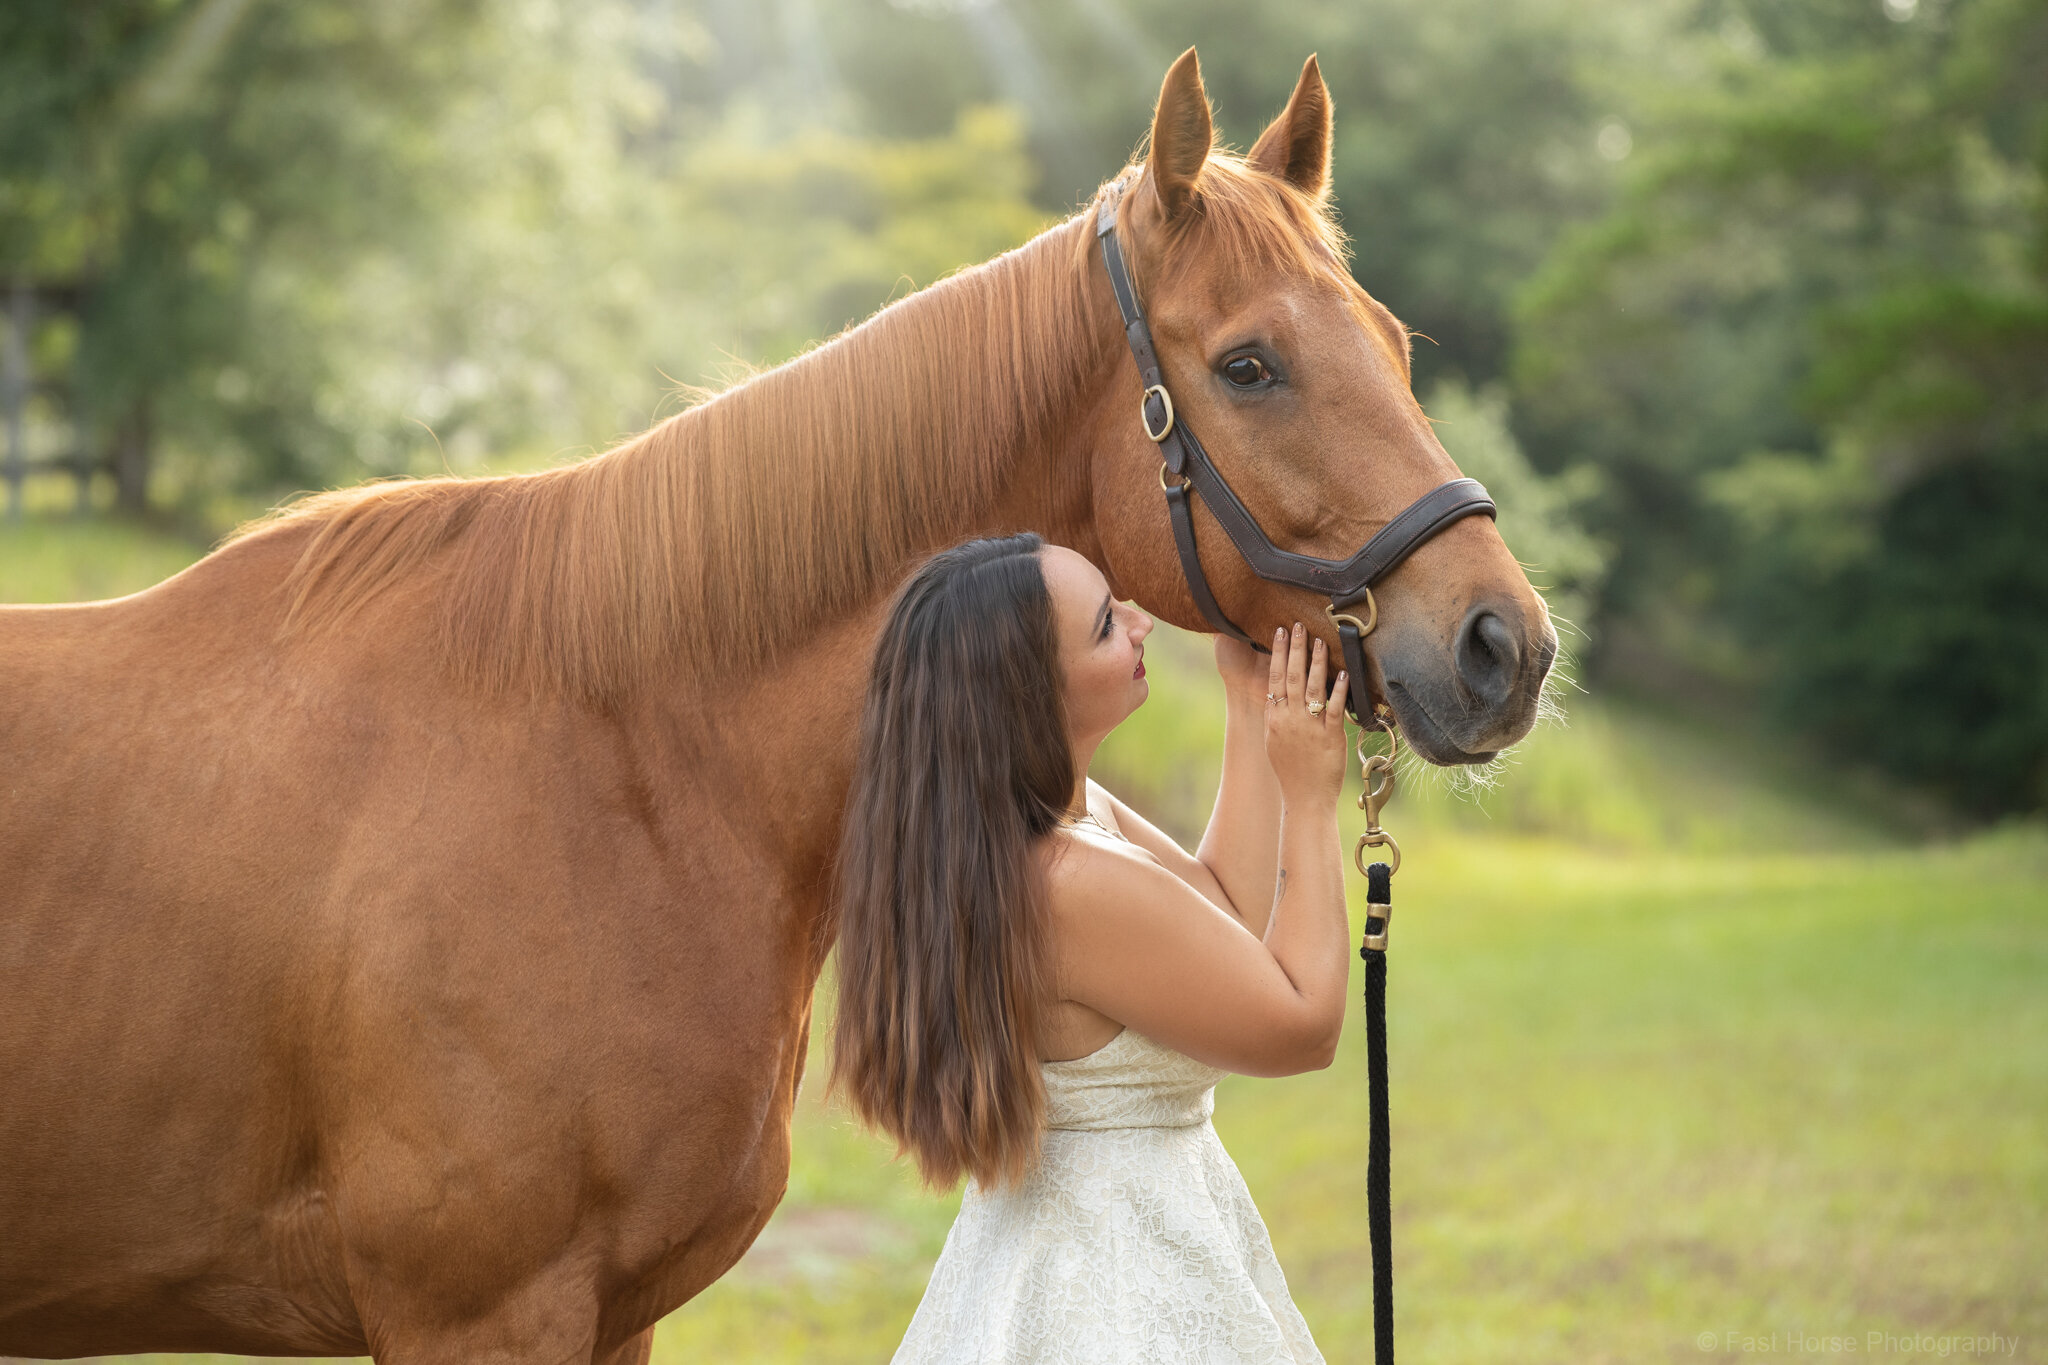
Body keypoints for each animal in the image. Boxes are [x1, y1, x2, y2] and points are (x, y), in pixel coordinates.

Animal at [0, 48, 1548, 1358]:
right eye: (1248, 365)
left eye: (1393, 344)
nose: (1504, 647)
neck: (620, 761)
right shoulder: (482, 1313)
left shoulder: (611, 1314)